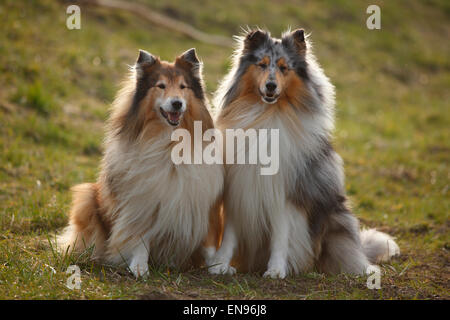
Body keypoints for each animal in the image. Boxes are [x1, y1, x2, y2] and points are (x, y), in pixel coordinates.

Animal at [58, 48, 223, 278]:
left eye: (183, 87)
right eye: (161, 85)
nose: (177, 103)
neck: (169, 143)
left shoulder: (202, 200)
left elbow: (208, 243)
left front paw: (218, 266)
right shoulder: (142, 202)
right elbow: (140, 238)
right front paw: (138, 267)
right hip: (88, 196)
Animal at [209, 29, 400, 278]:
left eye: (283, 68)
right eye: (262, 64)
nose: (270, 86)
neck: (266, 114)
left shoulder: (285, 192)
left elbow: (280, 236)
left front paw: (276, 270)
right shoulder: (238, 186)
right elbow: (230, 234)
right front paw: (220, 264)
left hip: (335, 218)